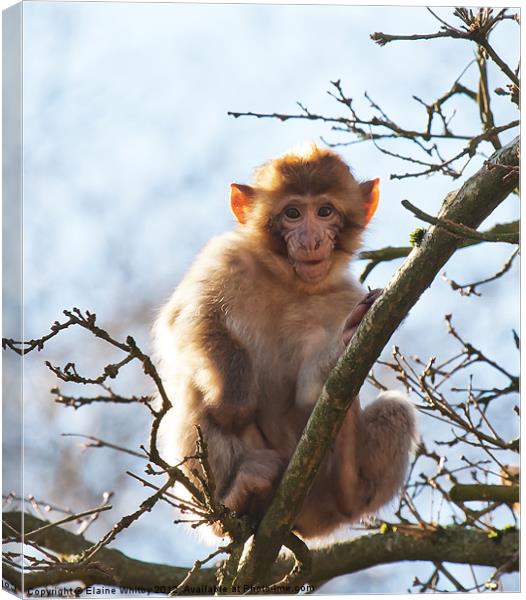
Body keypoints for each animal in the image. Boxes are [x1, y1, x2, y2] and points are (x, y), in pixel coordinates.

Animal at [153, 144, 420, 540]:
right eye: (292, 213)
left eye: (325, 211)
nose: (310, 240)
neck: (288, 280)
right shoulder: (226, 256)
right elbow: (188, 321)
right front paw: (234, 402)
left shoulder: (346, 295)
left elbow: (313, 392)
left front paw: (342, 346)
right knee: (194, 395)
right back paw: (237, 495)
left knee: (394, 409)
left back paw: (348, 484)